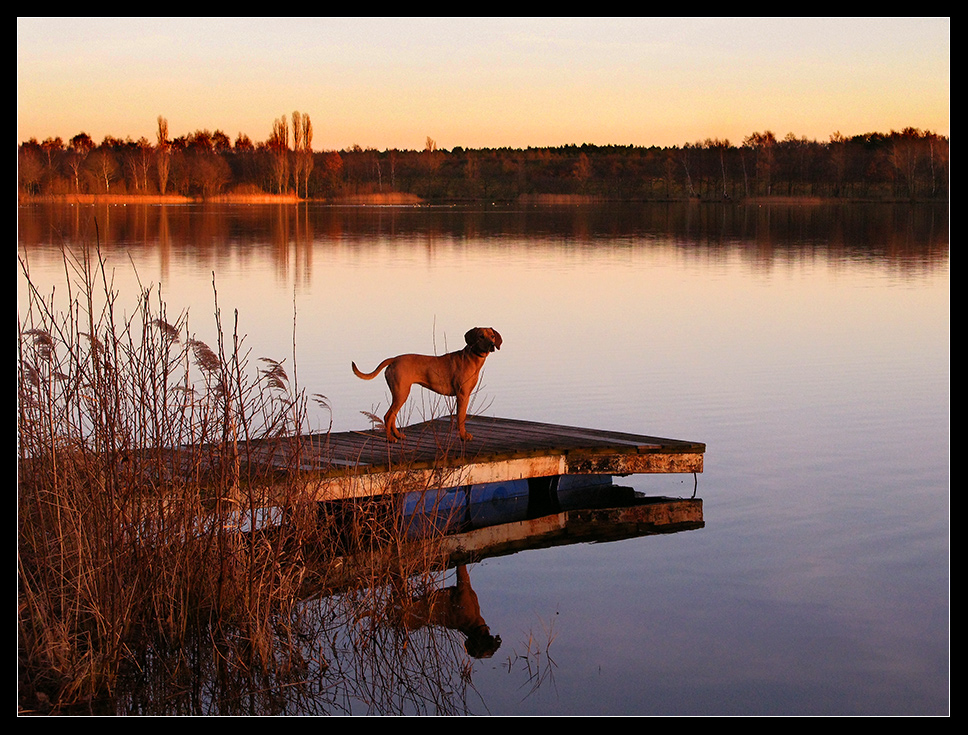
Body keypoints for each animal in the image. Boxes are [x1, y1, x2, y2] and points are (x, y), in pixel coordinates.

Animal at [352, 328, 502, 442]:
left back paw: (398, 435)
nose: (492, 345)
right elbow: (461, 417)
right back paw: (390, 438)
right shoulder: (462, 395)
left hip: (400, 394)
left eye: (492, 336)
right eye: (481, 336)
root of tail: (394, 359)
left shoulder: (465, 395)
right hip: (401, 393)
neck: (472, 358)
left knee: (392, 416)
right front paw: (463, 436)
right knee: (388, 416)